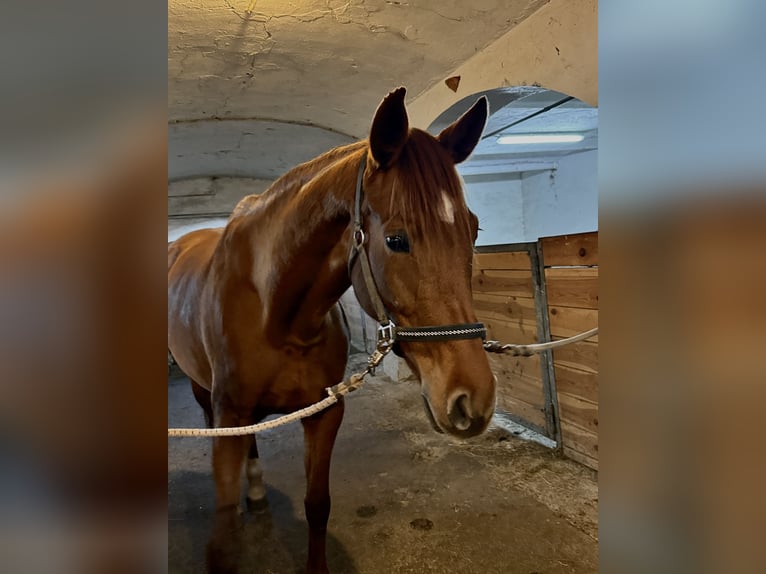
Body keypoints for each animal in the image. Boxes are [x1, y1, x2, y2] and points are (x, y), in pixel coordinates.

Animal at [167, 87, 496, 573]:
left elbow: (317, 505)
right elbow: (224, 534)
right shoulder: (230, 414)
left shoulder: (324, 413)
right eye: (396, 239)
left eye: (473, 230)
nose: (473, 400)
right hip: (203, 392)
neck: (277, 316)